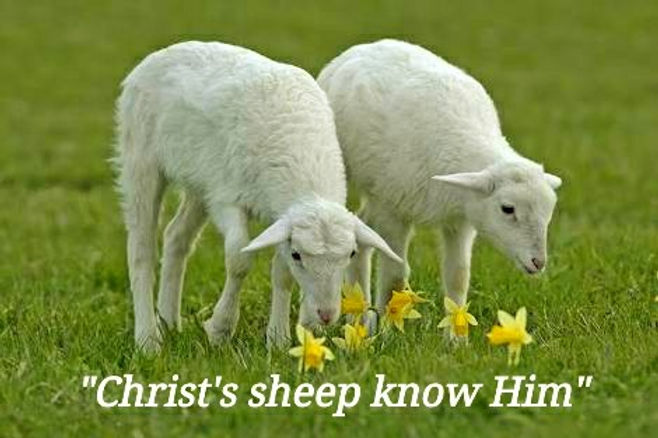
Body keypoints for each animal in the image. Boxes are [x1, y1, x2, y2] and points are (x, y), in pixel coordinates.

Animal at [114, 41, 401, 352]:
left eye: (350, 253)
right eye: (298, 255)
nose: (326, 315)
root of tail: (164, 52)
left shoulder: (278, 214)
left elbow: (282, 274)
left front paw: (277, 338)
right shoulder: (227, 198)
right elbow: (238, 258)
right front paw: (220, 328)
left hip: (201, 181)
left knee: (175, 236)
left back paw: (169, 322)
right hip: (141, 157)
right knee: (141, 249)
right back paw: (148, 339)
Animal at [317, 39, 562, 328]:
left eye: (548, 213)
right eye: (507, 209)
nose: (538, 262)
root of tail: (367, 46)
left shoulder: (461, 221)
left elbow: (458, 277)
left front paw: (457, 337)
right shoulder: (394, 212)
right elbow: (395, 277)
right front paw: (389, 333)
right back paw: (361, 321)